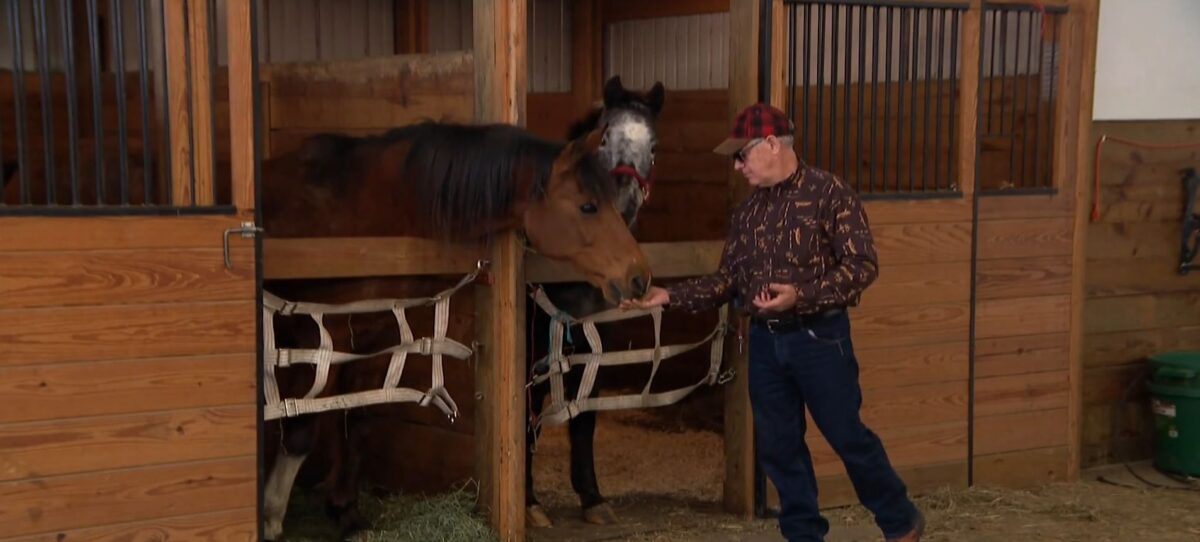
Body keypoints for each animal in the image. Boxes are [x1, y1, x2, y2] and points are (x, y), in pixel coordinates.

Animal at [258, 105, 656, 539]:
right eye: (588, 206)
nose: (639, 276)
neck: (369, 209)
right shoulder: (315, 336)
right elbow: (301, 425)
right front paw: (272, 517)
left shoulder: (375, 334)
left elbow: (357, 418)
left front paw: (347, 513)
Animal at [523, 76, 665, 527]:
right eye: (604, 138)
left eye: (653, 145)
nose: (626, 202)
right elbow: (526, 417)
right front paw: (528, 501)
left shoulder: (595, 342)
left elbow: (584, 415)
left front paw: (591, 496)